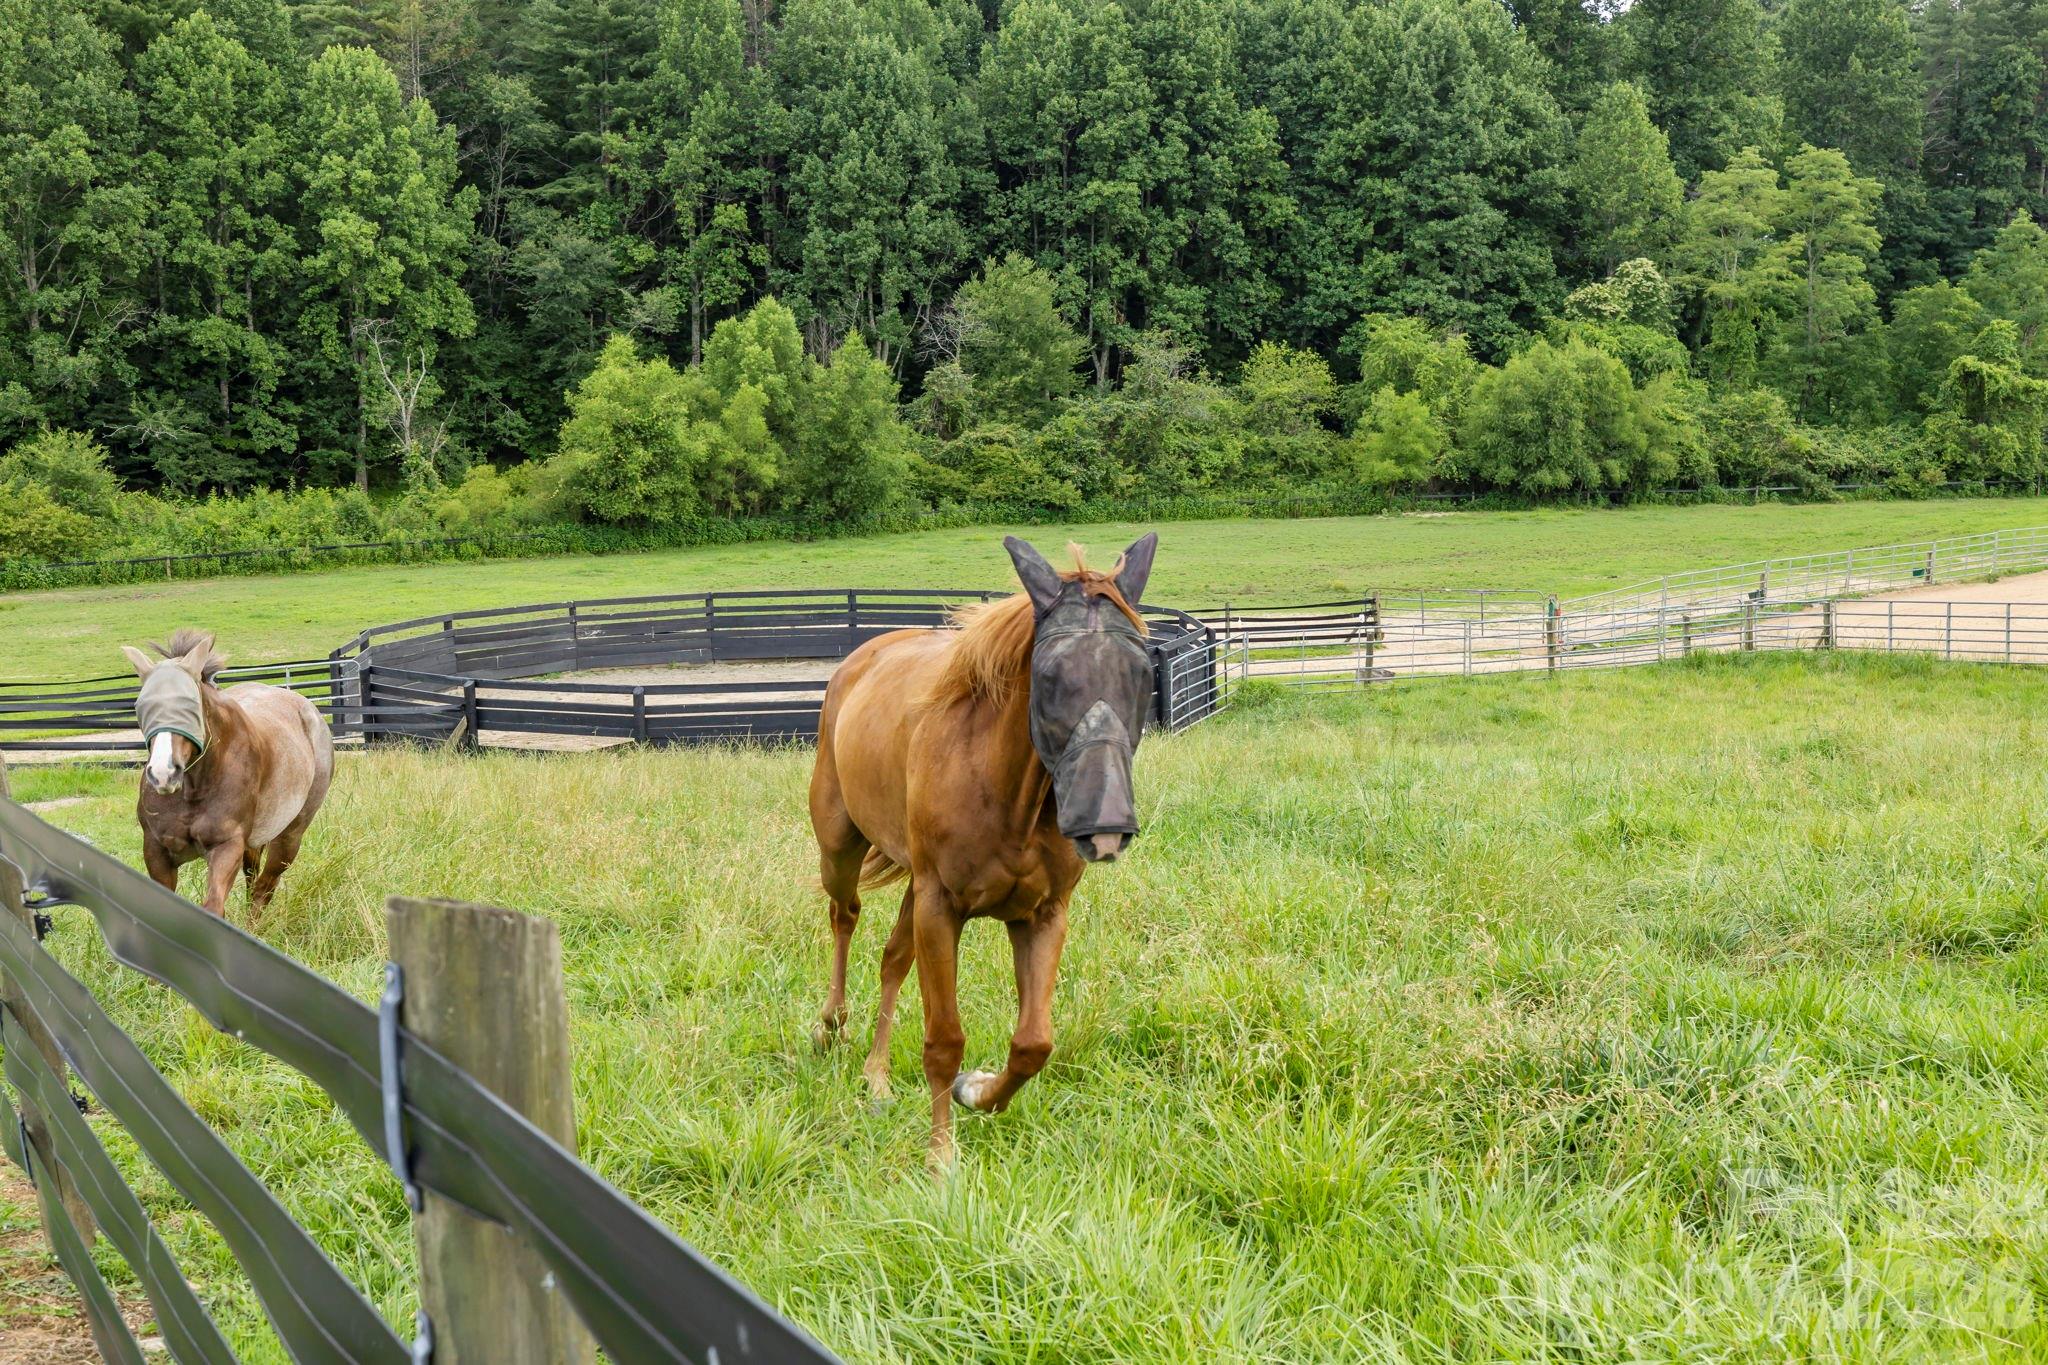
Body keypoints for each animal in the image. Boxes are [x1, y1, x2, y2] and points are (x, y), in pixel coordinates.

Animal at [120, 629, 334, 919]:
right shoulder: (157, 852)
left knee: (264, 888)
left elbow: (213, 908)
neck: (195, 790)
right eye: (140, 705)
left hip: (289, 837)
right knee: (253, 880)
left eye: (191, 704)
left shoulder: (227, 847)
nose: (164, 774)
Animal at [808, 533, 1158, 1169]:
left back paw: (876, 1076)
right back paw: (832, 1024)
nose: (1106, 827)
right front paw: (941, 1158)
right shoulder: (941, 908)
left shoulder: (1039, 915)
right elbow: (944, 1040)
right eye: (1048, 675)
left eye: (1144, 671)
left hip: (914, 887)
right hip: (841, 850)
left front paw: (975, 1090)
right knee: (844, 916)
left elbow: (1033, 1044)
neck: (1004, 792)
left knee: (893, 958)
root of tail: (859, 660)